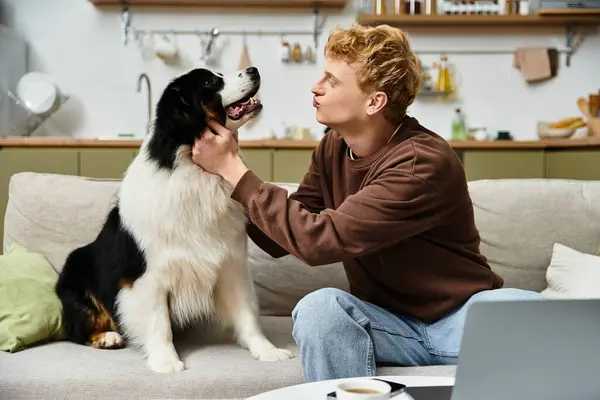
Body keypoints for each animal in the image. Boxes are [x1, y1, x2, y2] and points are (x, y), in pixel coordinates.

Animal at [55, 66, 294, 376]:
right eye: (209, 81)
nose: (253, 69)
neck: (195, 168)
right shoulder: (148, 275)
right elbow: (159, 322)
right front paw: (166, 361)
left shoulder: (231, 264)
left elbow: (247, 314)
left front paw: (267, 351)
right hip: (77, 267)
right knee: (76, 328)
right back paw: (108, 337)